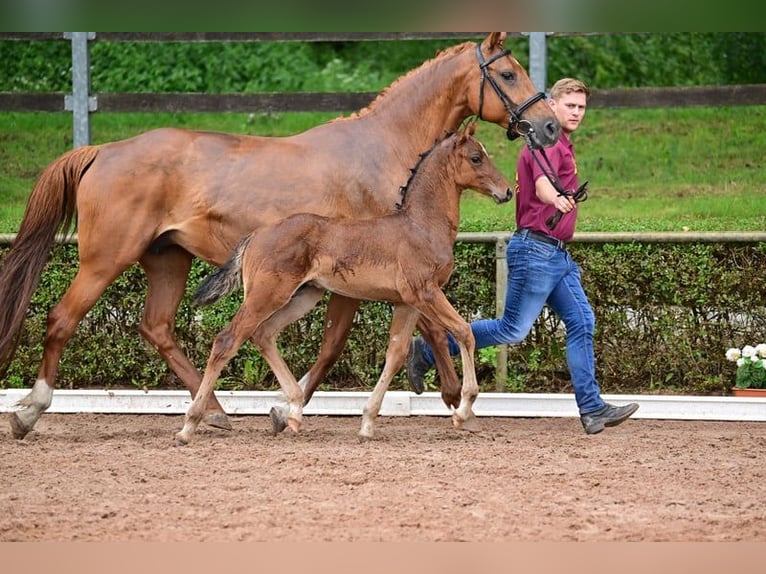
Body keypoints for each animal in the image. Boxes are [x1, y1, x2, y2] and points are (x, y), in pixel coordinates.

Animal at [175, 121, 511, 445]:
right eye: (476, 157)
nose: (507, 191)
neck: (420, 226)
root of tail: (256, 235)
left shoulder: (408, 302)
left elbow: (396, 353)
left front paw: (367, 423)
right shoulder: (426, 292)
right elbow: (464, 331)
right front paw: (464, 409)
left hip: (303, 296)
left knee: (263, 334)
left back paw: (293, 411)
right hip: (266, 296)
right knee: (228, 340)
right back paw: (190, 426)